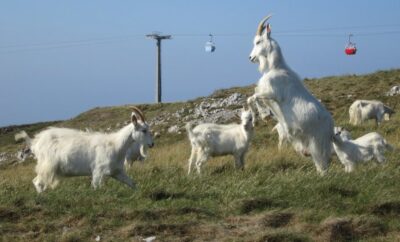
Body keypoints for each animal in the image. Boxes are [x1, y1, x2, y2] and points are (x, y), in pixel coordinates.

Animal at [18, 106, 153, 193]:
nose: (152, 144)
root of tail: (35, 142)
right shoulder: (98, 171)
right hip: (48, 165)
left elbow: (132, 183)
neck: (115, 145)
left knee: (37, 181)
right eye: (144, 130)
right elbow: (97, 189)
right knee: (37, 182)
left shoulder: (117, 172)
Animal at [247, 14, 334, 174]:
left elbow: (253, 97)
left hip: (317, 144)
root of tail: (331, 128)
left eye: (258, 41)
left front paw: (261, 116)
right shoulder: (265, 91)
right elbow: (253, 95)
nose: (250, 58)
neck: (276, 67)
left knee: (322, 165)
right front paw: (261, 116)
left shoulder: (273, 94)